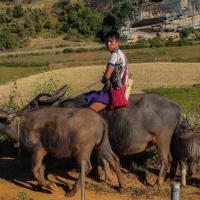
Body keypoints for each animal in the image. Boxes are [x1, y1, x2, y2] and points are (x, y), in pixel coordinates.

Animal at [22, 87, 181, 186]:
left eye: (33, 103)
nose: (20, 113)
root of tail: (174, 105)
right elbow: (103, 160)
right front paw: (106, 176)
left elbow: (100, 160)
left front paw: (104, 177)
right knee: (173, 159)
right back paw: (170, 179)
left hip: (161, 140)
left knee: (166, 160)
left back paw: (158, 183)